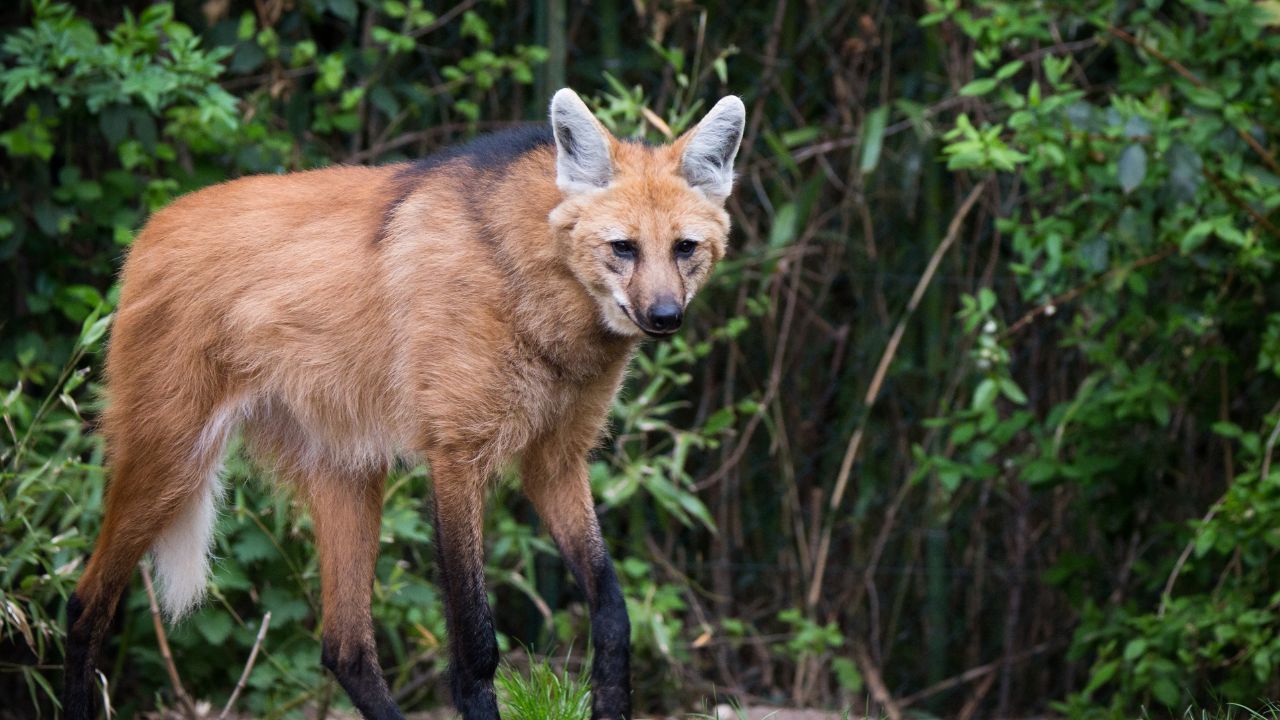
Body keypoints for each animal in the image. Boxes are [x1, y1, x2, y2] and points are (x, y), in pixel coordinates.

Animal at [64, 89, 747, 717]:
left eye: (684, 248)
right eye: (623, 247)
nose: (666, 317)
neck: (534, 285)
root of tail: (150, 229)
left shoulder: (554, 458)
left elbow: (611, 608)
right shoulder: (456, 454)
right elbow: (476, 647)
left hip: (347, 471)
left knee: (344, 647)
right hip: (171, 459)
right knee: (84, 604)